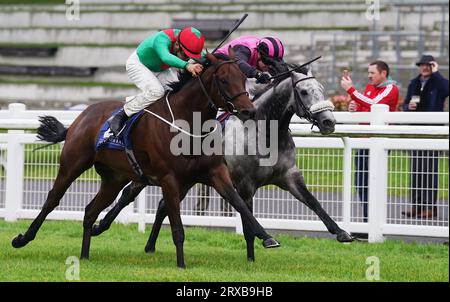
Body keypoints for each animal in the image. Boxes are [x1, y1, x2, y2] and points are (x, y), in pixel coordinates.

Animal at [10, 53, 280, 268]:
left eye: (243, 79)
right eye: (223, 80)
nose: (248, 111)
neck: (188, 124)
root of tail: (81, 116)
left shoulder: (215, 173)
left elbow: (240, 204)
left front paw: (267, 237)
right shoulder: (169, 180)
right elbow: (177, 226)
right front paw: (181, 264)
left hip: (114, 179)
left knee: (90, 211)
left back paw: (84, 255)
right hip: (72, 164)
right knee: (52, 200)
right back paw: (22, 239)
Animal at [89, 63, 356, 262]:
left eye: (321, 88)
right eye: (304, 92)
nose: (328, 122)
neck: (264, 132)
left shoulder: (289, 176)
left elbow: (315, 203)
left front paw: (342, 232)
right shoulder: (246, 184)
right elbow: (247, 221)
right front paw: (253, 255)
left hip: (184, 180)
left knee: (163, 206)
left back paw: (149, 246)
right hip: (152, 174)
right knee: (128, 195)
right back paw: (100, 226)